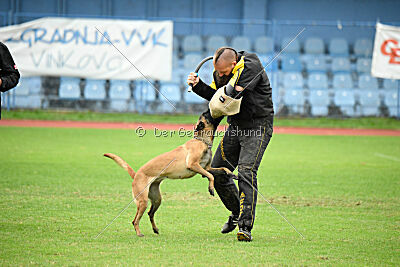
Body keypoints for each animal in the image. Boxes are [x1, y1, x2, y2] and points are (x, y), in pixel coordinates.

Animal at [104, 111, 233, 239]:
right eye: (206, 115)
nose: (208, 110)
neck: (201, 140)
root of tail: (136, 175)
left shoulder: (207, 168)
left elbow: (222, 168)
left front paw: (230, 173)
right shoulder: (193, 165)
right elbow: (211, 176)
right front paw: (211, 188)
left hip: (156, 199)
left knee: (150, 213)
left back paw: (155, 229)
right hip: (142, 201)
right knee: (135, 220)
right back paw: (139, 233)